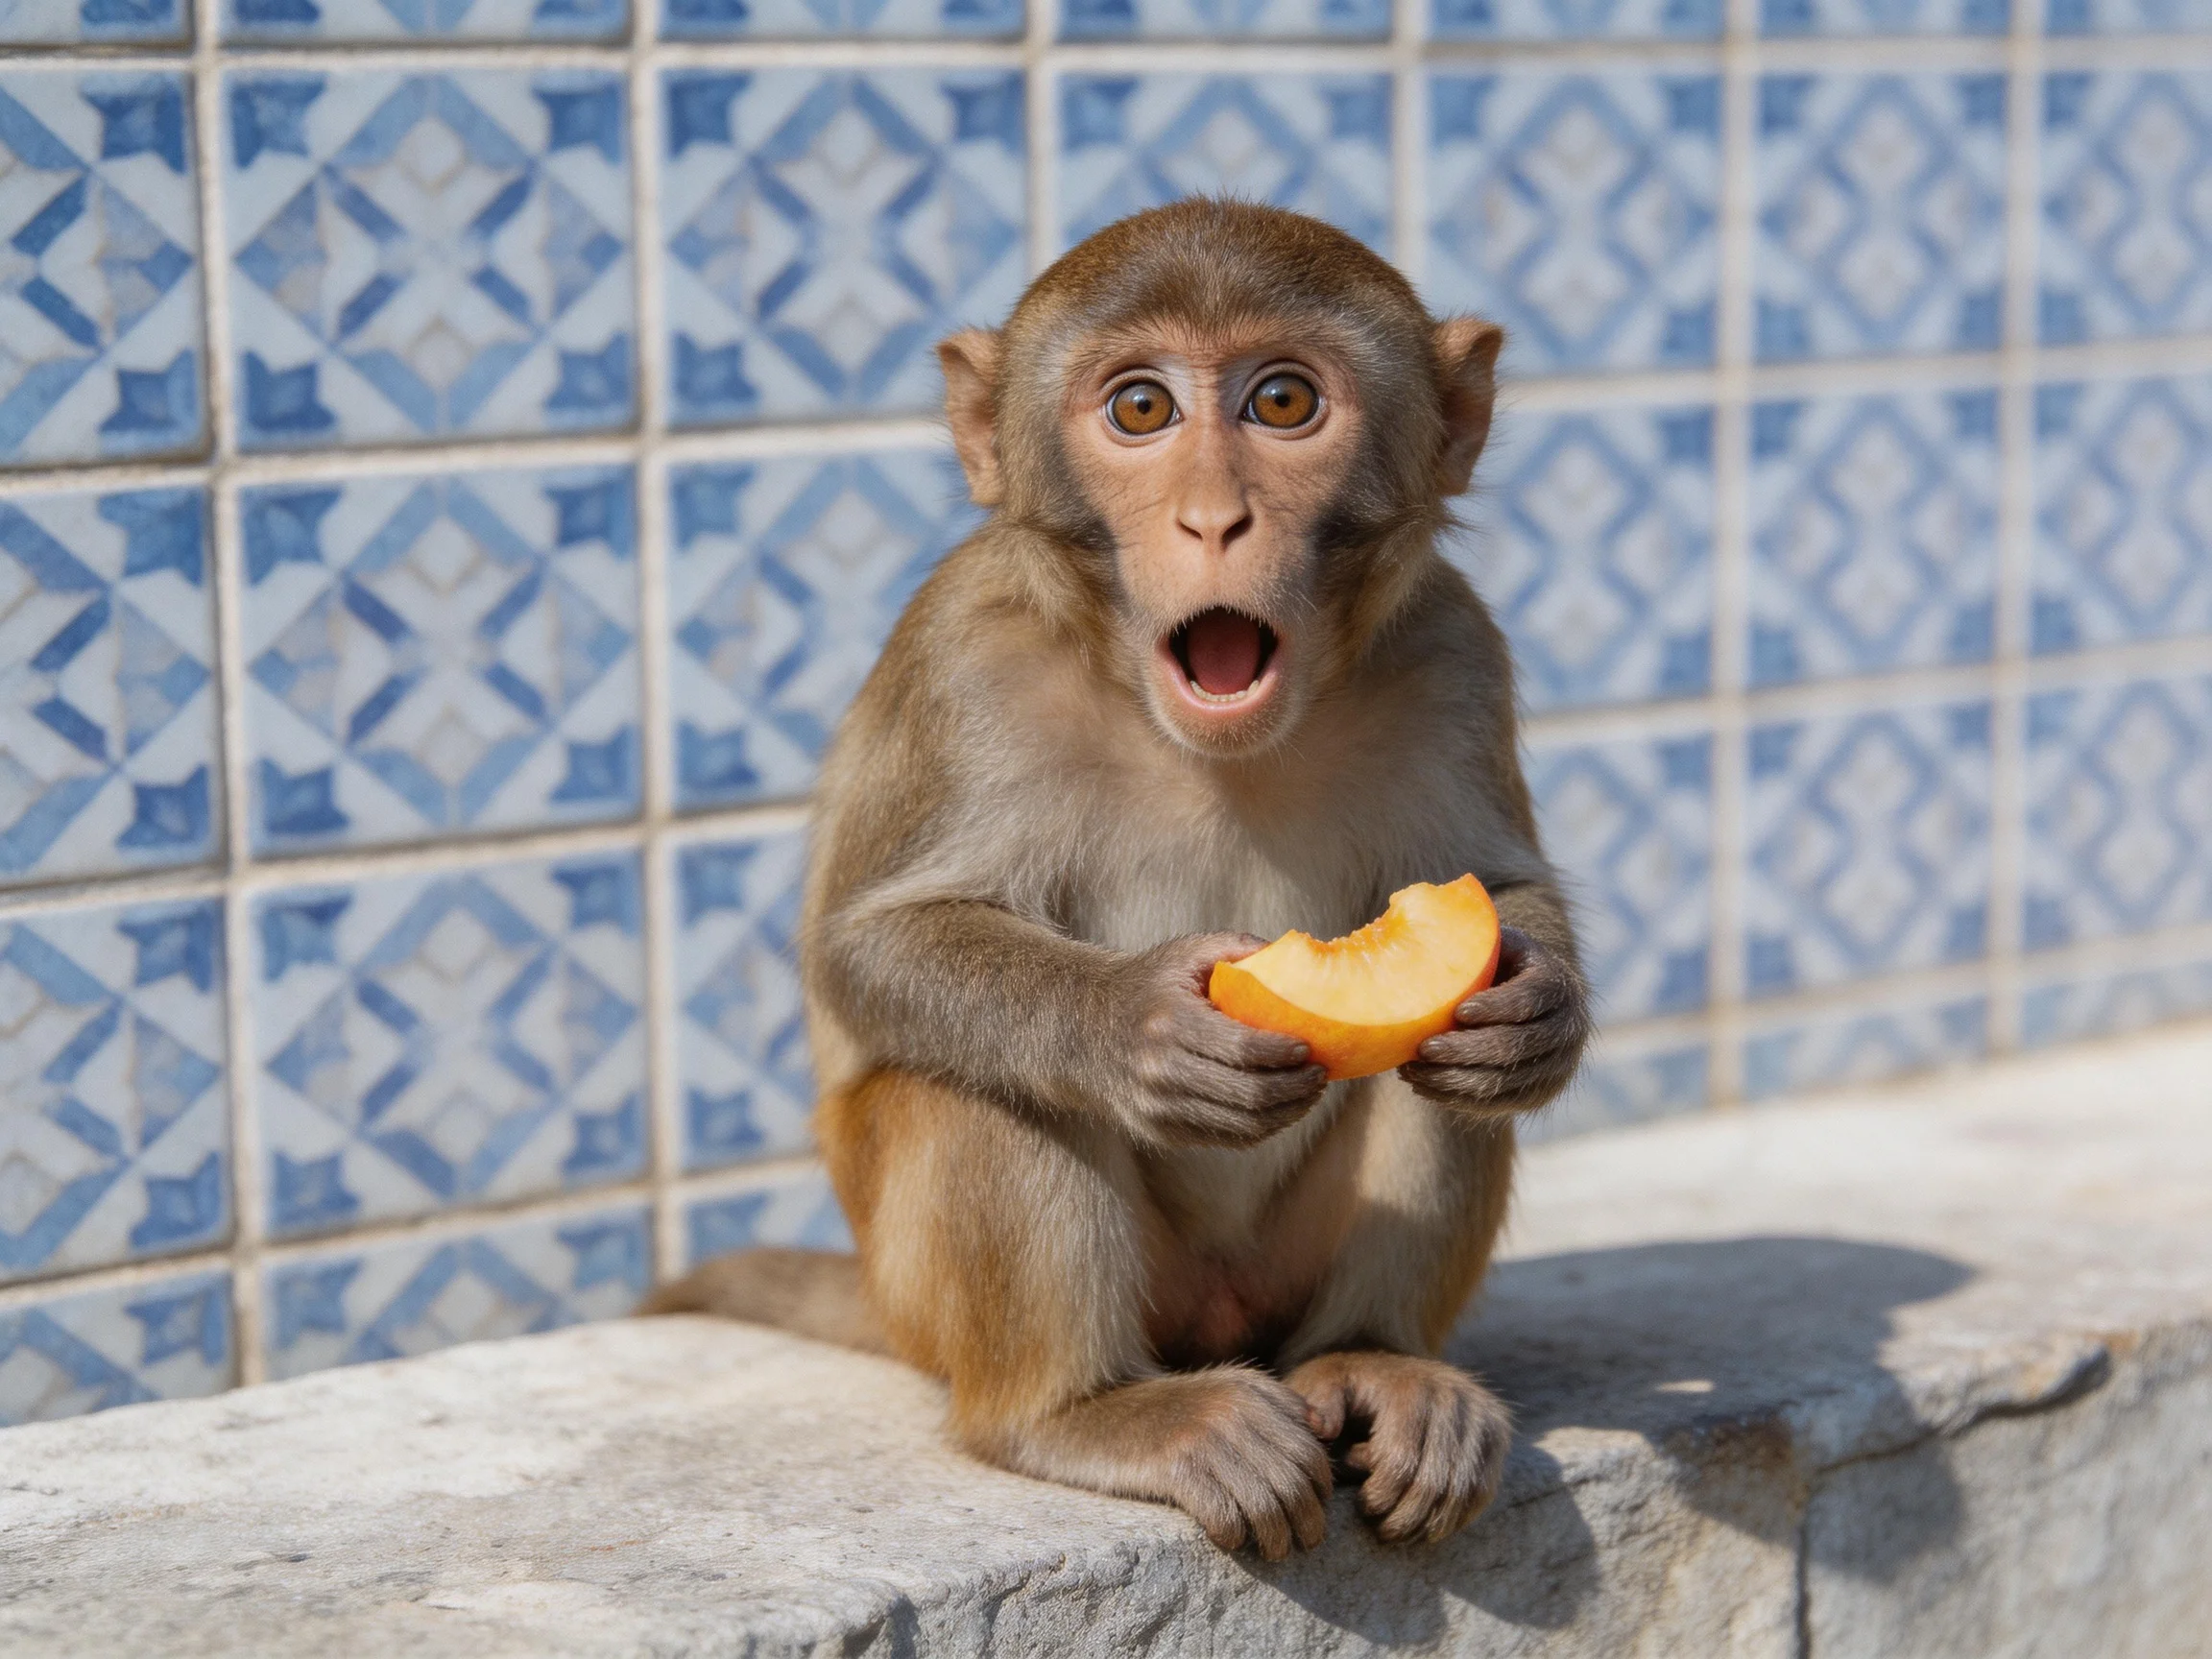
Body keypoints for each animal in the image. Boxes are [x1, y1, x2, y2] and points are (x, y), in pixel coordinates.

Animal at [644, 198, 1591, 1560]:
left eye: (1283, 401)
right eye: (1141, 409)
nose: (1213, 520)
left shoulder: (1456, 650)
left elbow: (1498, 900)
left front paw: (1542, 1011)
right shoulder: (962, 658)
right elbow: (870, 947)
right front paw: (1132, 1023)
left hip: (1274, 1285)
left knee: (1435, 1080)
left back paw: (1376, 1361)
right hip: (943, 1296)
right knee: (978, 1083)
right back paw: (1082, 1412)